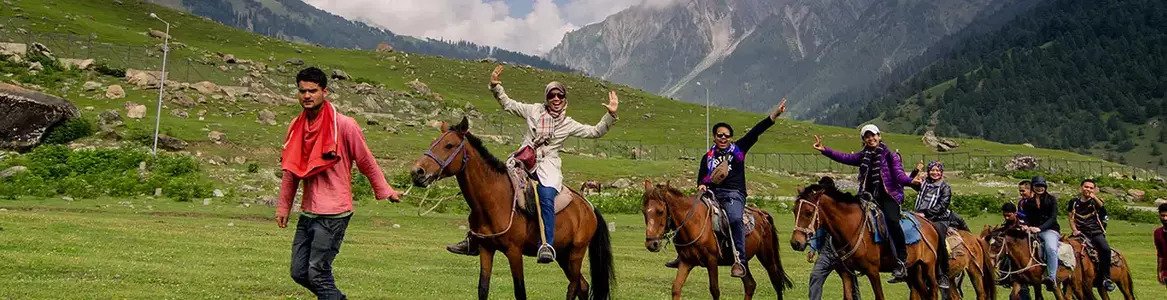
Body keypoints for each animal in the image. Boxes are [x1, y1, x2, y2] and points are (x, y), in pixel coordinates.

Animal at [410, 117, 616, 298]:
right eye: (433, 142)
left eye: (449, 145)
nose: (417, 172)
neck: (495, 200)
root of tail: (588, 207)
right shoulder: (486, 249)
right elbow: (482, 289)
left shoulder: (514, 253)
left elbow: (520, 291)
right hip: (563, 255)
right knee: (583, 286)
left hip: (575, 254)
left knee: (574, 286)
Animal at [639, 179, 793, 298]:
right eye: (644, 212)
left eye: (660, 211)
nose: (651, 244)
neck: (693, 223)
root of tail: (762, 214)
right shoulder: (686, 261)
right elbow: (676, 288)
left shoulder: (711, 261)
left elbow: (715, 290)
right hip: (742, 262)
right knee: (750, 285)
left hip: (767, 257)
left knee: (777, 283)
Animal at [788, 177, 942, 298]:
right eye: (794, 211)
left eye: (808, 212)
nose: (796, 242)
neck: (850, 228)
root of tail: (929, 223)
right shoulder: (846, 273)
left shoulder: (872, 271)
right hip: (914, 270)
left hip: (928, 266)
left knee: (933, 290)